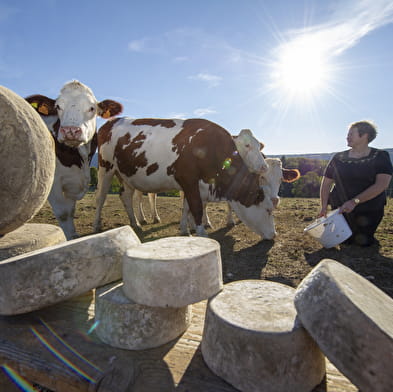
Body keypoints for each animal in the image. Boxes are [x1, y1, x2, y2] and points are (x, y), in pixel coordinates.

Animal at [25, 80, 121, 239]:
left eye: (92, 108)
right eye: (58, 106)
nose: (70, 130)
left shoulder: (72, 183)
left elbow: (70, 212)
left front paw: (74, 236)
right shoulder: (52, 183)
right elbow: (63, 214)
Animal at [93, 117, 274, 239]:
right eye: (268, 210)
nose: (274, 235)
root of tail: (111, 121)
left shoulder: (193, 185)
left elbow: (187, 206)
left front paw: (185, 230)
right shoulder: (189, 180)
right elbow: (196, 207)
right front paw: (202, 233)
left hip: (126, 175)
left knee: (125, 196)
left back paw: (135, 223)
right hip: (106, 167)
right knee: (101, 197)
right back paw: (96, 225)